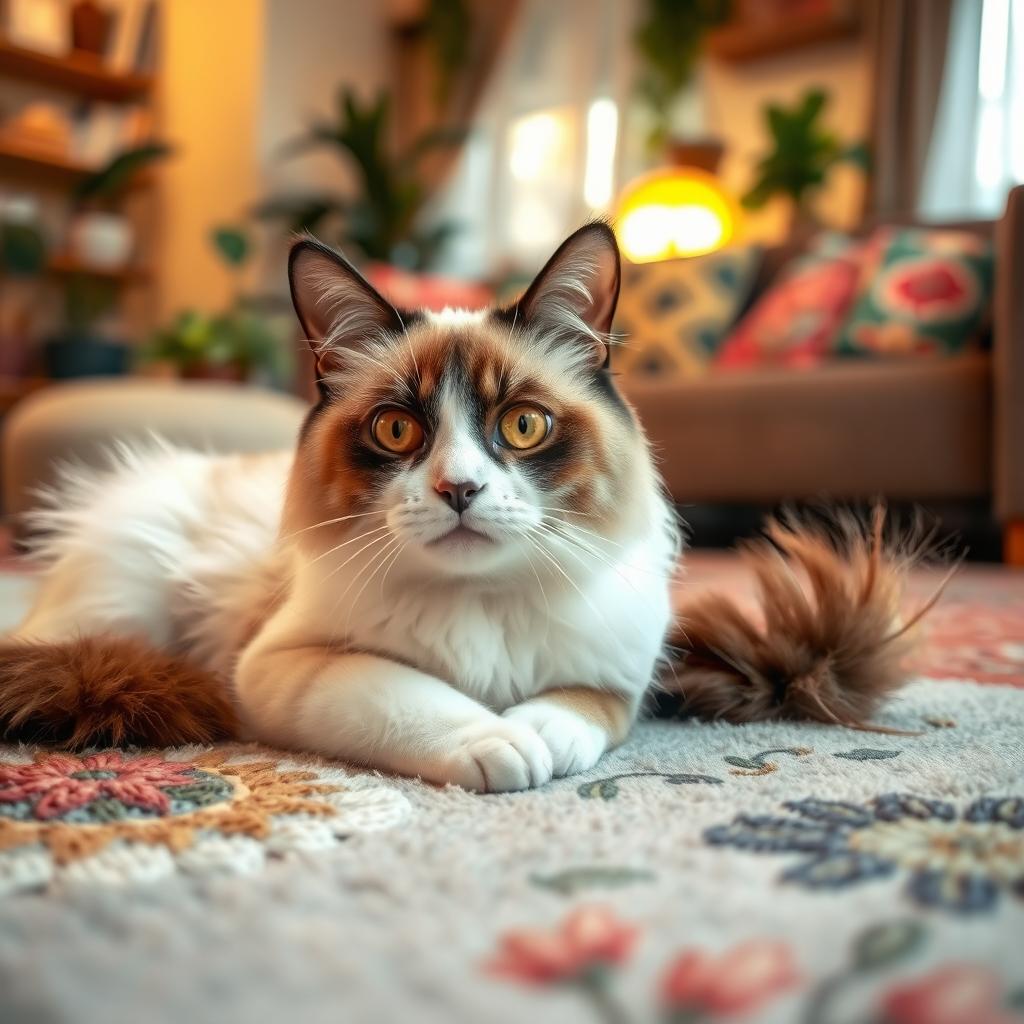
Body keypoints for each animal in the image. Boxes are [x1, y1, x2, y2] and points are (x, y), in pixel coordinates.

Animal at [0, 226, 929, 790]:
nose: (459, 490)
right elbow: (413, 696)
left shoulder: (616, 680)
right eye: (397, 429)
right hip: (126, 596)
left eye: (521, 425)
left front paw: (539, 739)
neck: (482, 604)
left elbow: (575, 712)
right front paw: (501, 744)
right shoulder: (286, 666)